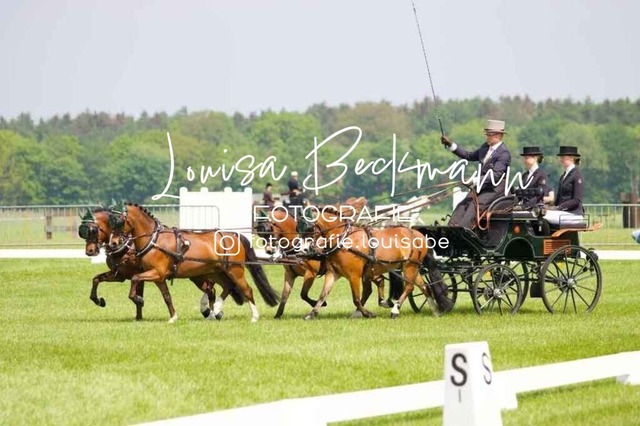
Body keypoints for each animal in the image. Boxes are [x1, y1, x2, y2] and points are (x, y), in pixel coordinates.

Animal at [80, 208, 244, 321]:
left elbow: (138, 293)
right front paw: (98, 301)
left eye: (93, 230)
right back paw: (211, 312)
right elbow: (96, 279)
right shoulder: (119, 275)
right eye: (83, 231)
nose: (90, 251)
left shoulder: (140, 274)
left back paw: (213, 312)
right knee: (212, 289)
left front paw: (139, 311)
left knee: (215, 288)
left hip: (202, 275)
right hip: (198, 275)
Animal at [108, 203, 279, 322]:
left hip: (234, 270)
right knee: (227, 286)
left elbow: (135, 278)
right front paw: (173, 317)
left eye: (120, 221)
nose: (113, 242)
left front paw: (138, 299)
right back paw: (216, 310)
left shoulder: (157, 273)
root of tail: (233, 234)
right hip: (216, 272)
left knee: (246, 290)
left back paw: (254, 316)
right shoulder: (158, 277)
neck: (154, 240)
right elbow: (166, 296)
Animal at [304, 197, 451, 319]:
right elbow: (323, 295)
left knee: (409, 287)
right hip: (413, 267)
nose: (305, 249)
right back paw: (436, 311)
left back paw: (395, 310)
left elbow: (356, 299)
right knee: (424, 287)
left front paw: (367, 313)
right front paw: (312, 314)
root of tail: (418, 234)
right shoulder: (333, 273)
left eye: (309, 227)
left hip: (410, 266)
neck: (344, 239)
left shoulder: (354, 275)